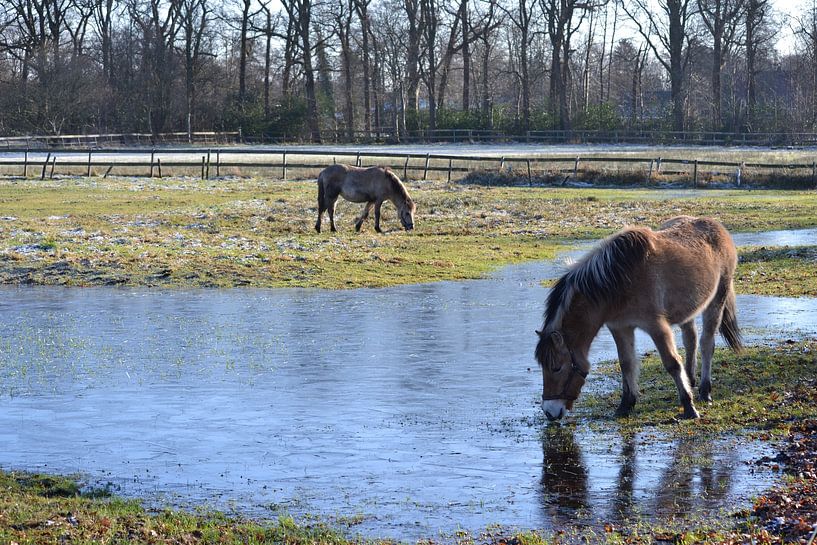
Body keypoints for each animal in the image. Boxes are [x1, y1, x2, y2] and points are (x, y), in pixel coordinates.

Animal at [534, 216, 743, 421]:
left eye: (556, 368)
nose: (550, 412)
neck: (620, 280)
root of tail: (718, 226)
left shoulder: (657, 327)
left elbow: (672, 363)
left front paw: (689, 407)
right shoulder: (620, 327)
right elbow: (626, 363)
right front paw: (626, 405)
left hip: (716, 300)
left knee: (707, 344)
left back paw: (705, 391)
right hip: (688, 310)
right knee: (691, 340)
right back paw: (690, 381)